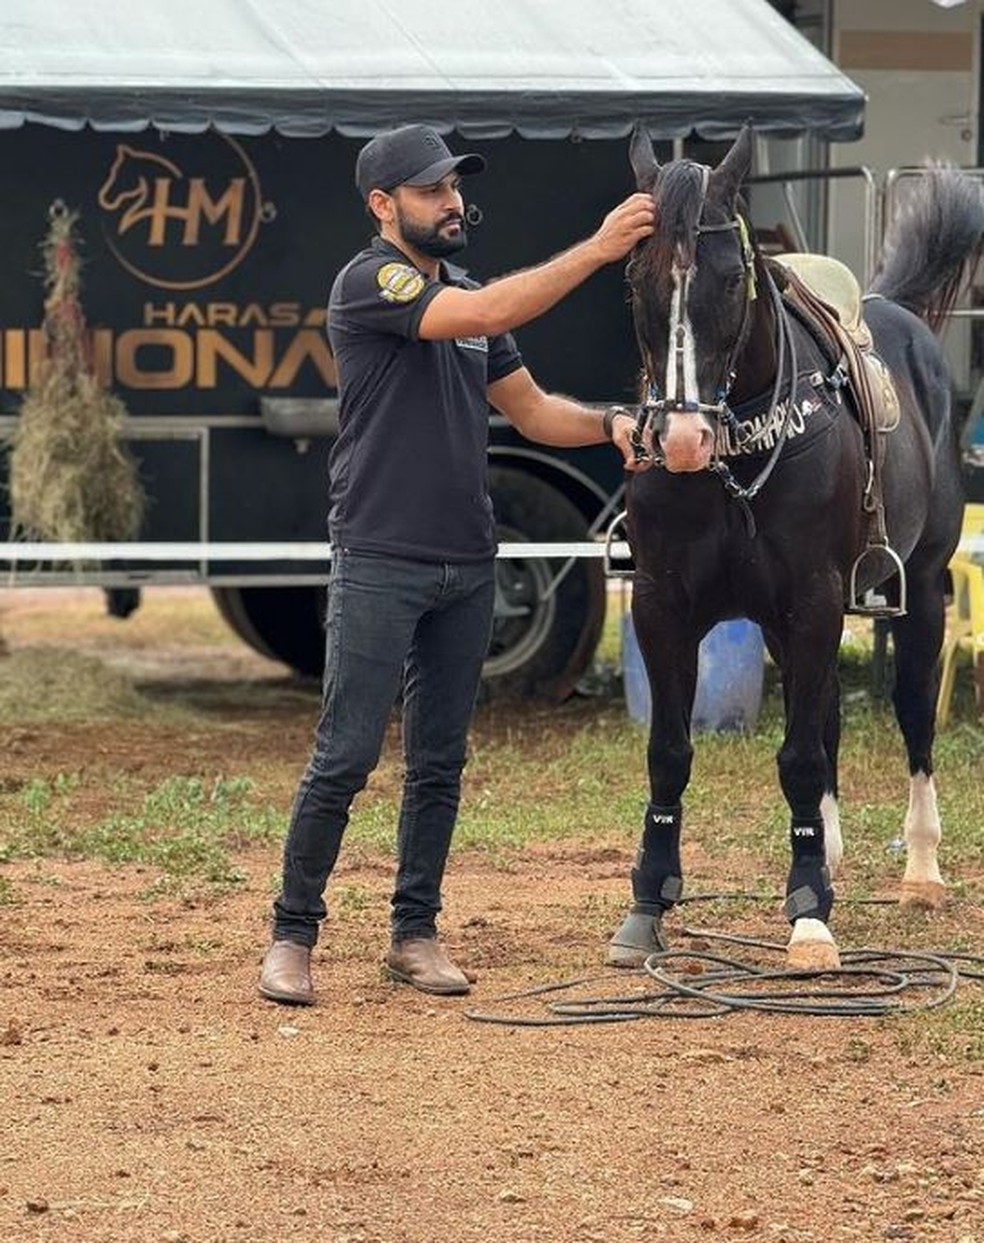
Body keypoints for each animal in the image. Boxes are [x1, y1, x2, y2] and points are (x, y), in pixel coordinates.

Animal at [611, 128, 979, 969]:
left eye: (731, 278)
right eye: (637, 278)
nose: (683, 439)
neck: (736, 460)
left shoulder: (813, 603)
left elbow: (802, 755)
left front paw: (809, 913)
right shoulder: (663, 608)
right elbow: (670, 751)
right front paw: (648, 901)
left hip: (922, 594)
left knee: (913, 713)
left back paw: (920, 868)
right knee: (830, 715)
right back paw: (835, 851)